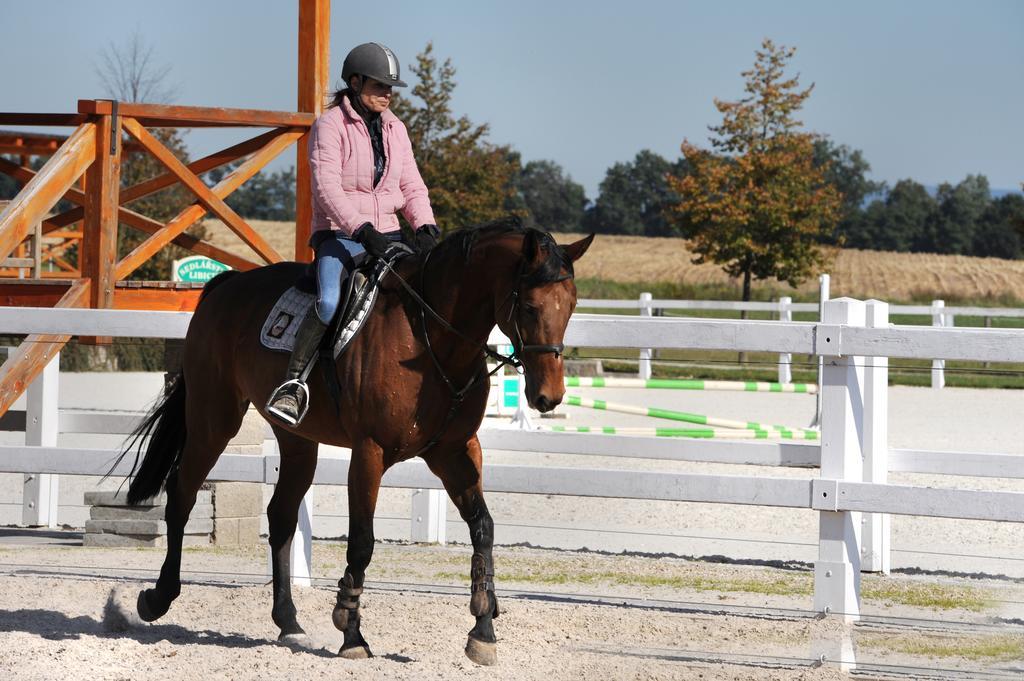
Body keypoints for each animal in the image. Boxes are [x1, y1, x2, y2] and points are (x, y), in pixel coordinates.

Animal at [114, 222, 593, 663]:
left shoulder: (454, 451)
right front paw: (351, 632)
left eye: (571, 305)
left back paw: (289, 622)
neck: (429, 338)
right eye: (529, 306)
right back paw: (157, 598)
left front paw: (483, 629)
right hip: (214, 420)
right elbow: (362, 540)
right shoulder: (370, 451)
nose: (548, 396)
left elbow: (484, 528)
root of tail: (225, 285)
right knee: (182, 495)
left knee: (281, 515)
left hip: (296, 439)